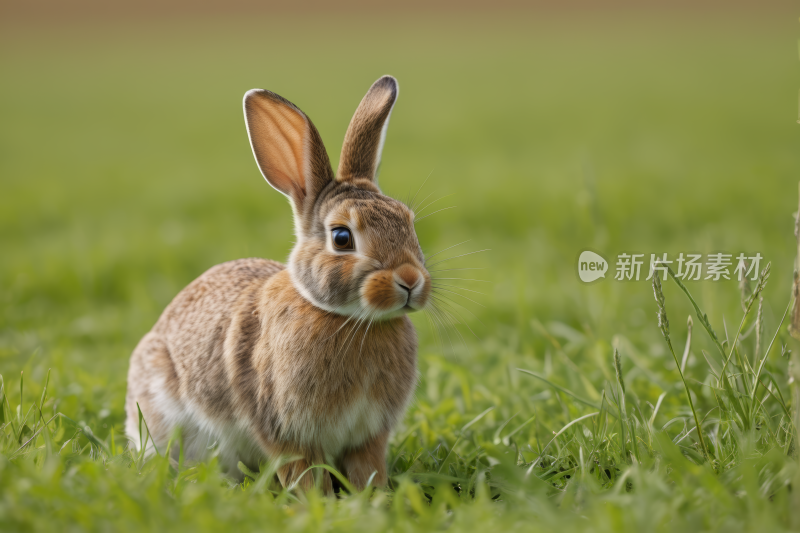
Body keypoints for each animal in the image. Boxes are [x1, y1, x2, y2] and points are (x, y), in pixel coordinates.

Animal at [123, 74, 432, 490]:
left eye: (409, 223)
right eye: (341, 238)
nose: (410, 280)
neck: (349, 319)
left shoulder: (368, 436)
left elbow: (367, 469)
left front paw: (375, 496)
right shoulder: (285, 430)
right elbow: (303, 474)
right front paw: (316, 501)